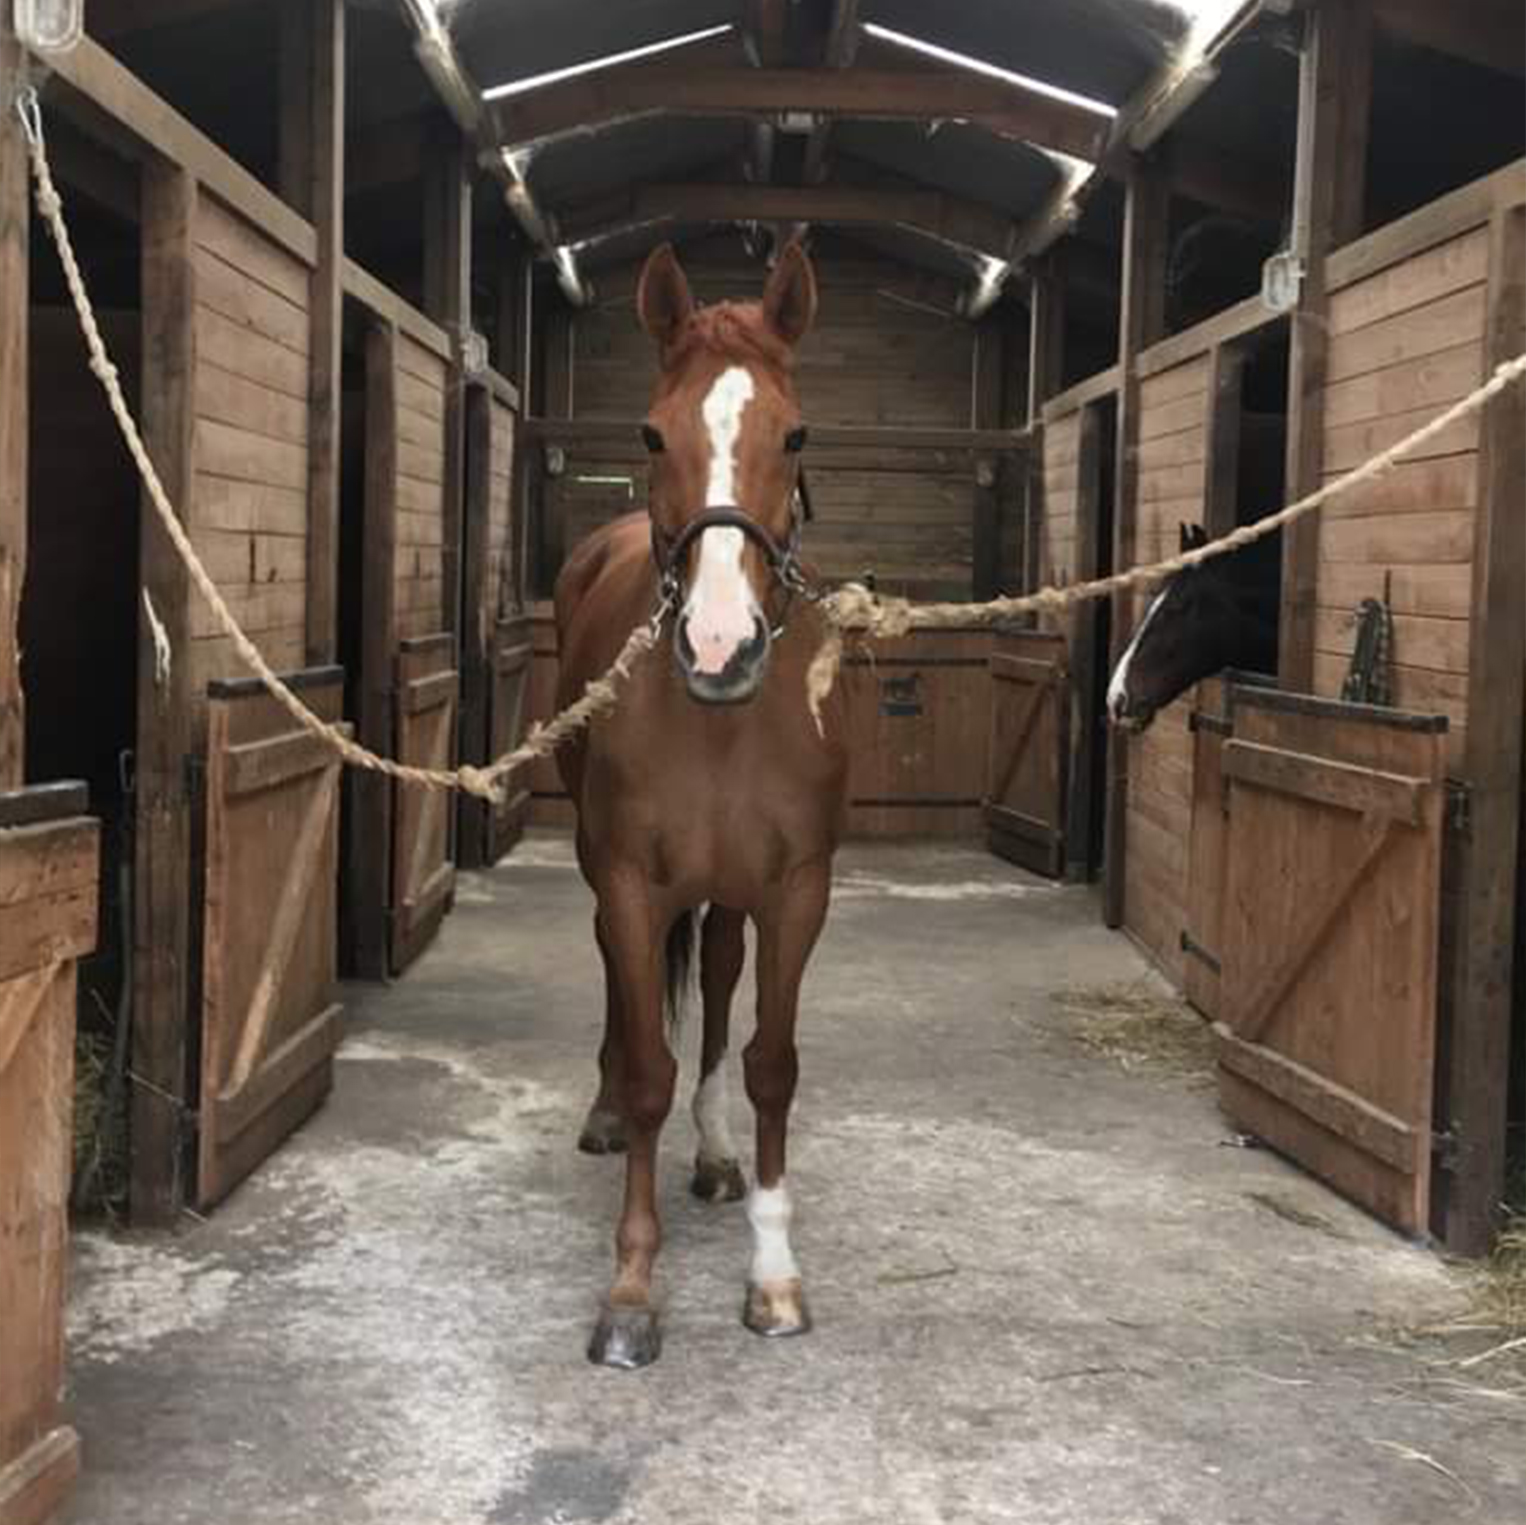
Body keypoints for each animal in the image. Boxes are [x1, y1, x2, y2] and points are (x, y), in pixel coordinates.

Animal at [555, 241, 854, 1373]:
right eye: (651, 432)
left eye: (796, 432)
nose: (719, 647)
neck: (723, 721)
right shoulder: (632, 880)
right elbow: (649, 1064)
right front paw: (632, 1288)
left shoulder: (798, 888)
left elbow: (770, 1062)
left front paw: (773, 1274)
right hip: (607, 874)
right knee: (617, 978)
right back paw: (604, 1114)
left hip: (728, 894)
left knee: (721, 985)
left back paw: (718, 1152)